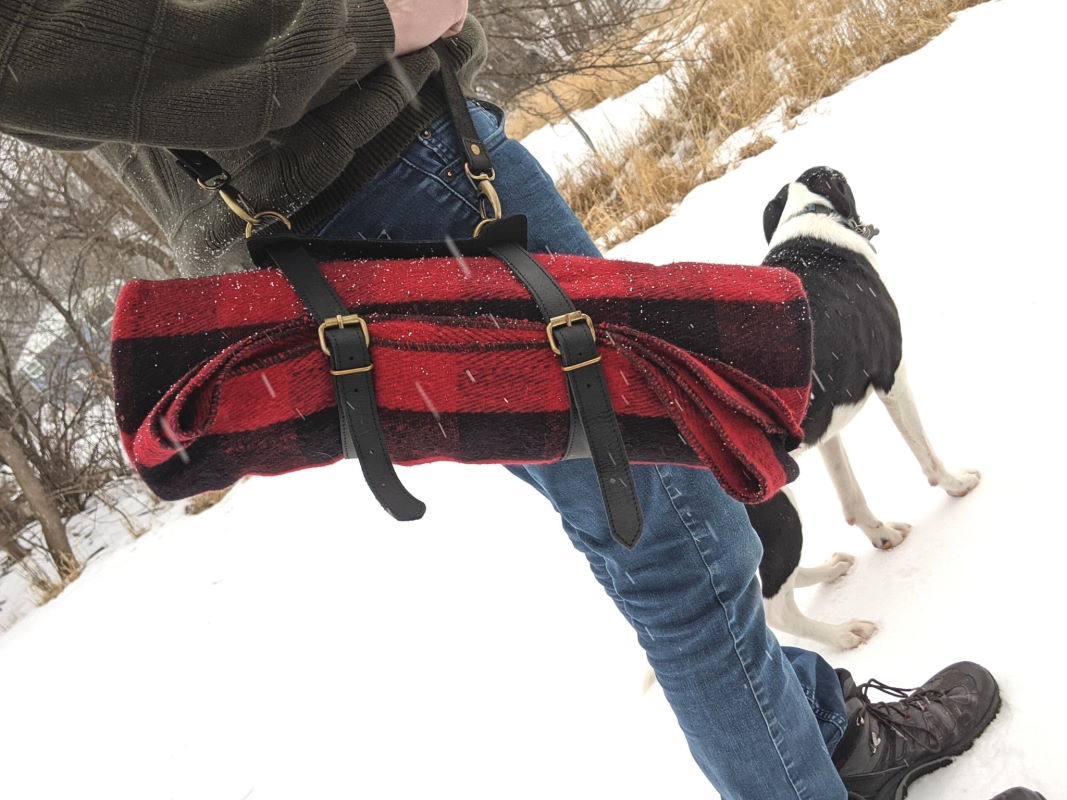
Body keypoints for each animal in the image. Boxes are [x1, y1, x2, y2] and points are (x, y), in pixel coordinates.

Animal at [755, 169, 977, 652]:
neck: (806, 219)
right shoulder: (893, 375)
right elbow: (928, 456)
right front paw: (958, 486)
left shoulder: (824, 425)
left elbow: (851, 495)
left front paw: (882, 535)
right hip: (778, 512)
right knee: (775, 608)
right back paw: (843, 634)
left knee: (775, 580)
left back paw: (831, 568)